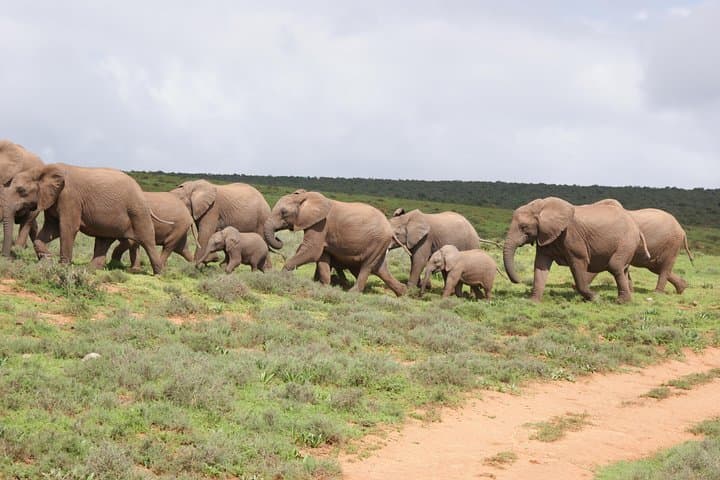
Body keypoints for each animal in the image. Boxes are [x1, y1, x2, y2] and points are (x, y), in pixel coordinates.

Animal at [2, 163, 165, 274]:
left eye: (21, 190)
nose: (7, 259)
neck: (43, 169)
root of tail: (140, 190)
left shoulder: (70, 197)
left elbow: (67, 228)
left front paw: (62, 267)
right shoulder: (52, 199)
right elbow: (51, 229)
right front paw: (47, 259)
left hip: (137, 211)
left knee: (147, 240)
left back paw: (159, 273)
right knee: (103, 239)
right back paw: (91, 269)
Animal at [264, 189, 406, 296]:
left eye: (284, 212)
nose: (278, 238)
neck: (306, 196)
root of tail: (390, 228)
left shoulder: (321, 224)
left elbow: (312, 251)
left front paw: (281, 277)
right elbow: (322, 256)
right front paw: (323, 286)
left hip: (378, 241)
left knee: (367, 266)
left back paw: (352, 293)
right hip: (380, 244)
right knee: (380, 269)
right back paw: (402, 293)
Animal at [503, 197, 649, 302]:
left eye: (523, 227)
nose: (519, 280)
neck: (543, 206)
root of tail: (636, 226)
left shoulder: (572, 237)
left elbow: (578, 263)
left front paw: (595, 298)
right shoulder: (545, 235)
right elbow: (540, 264)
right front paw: (532, 302)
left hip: (627, 241)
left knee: (615, 265)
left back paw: (621, 302)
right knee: (622, 268)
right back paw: (626, 300)